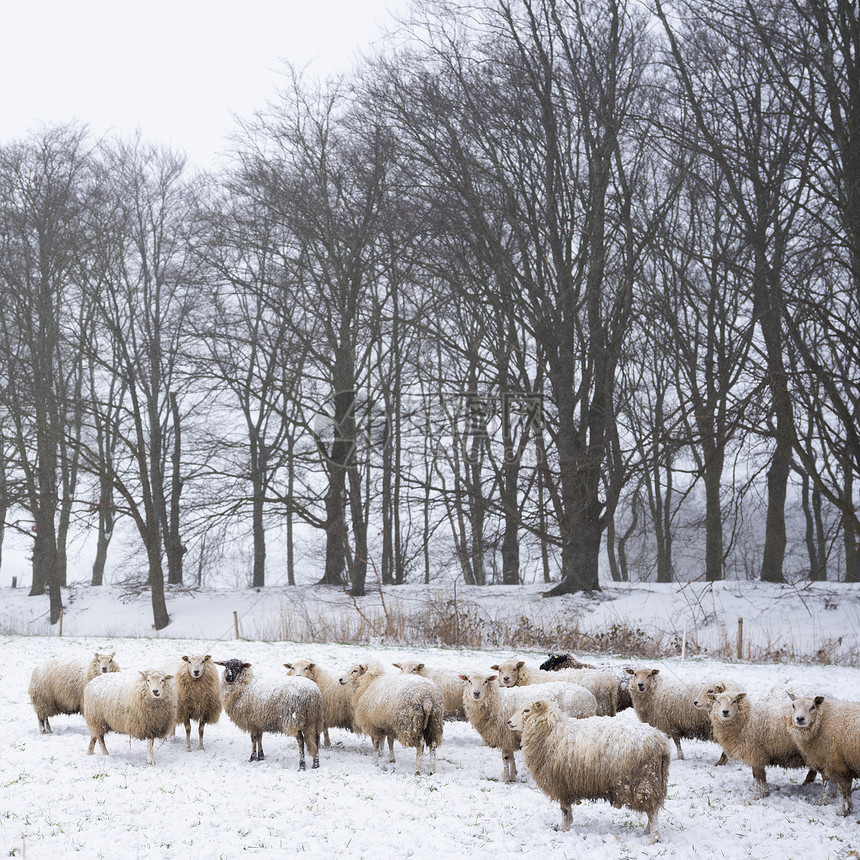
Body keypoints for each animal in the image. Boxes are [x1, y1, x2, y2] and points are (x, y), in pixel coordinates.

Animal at [456, 668, 596, 784]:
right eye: (469, 681)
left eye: (485, 681)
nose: (476, 693)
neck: (497, 702)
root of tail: (591, 697)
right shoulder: (510, 736)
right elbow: (511, 758)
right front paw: (513, 776)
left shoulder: (504, 735)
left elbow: (505, 758)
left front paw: (505, 779)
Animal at [490, 660, 620, 720]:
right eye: (500, 670)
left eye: (514, 669)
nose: (505, 679)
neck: (528, 677)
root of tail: (611, 683)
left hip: (600, 708)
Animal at [508, 700, 668, 840]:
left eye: (526, 710)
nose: (509, 722)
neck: (549, 731)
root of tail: (661, 743)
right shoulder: (568, 785)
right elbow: (568, 810)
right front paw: (570, 822)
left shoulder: (561, 784)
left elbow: (564, 810)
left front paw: (564, 830)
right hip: (653, 783)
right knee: (653, 810)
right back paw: (647, 831)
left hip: (643, 782)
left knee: (652, 813)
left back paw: (654, 838)